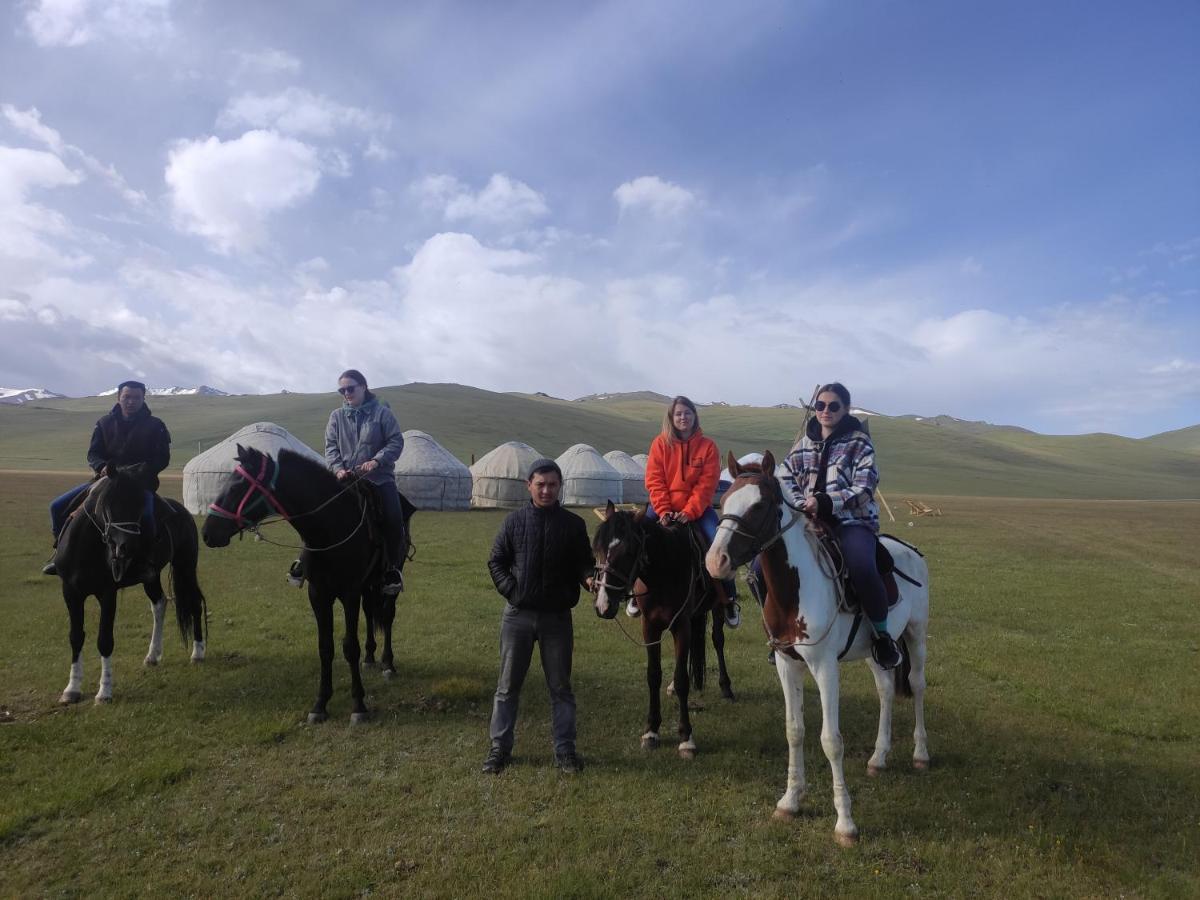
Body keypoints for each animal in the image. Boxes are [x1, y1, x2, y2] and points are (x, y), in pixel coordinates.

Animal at [52, 468, 208, 710]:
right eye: (109, 503)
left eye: (139, 505)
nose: (127, 547)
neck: (85, 548)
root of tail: (185, 512)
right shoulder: (70, 592)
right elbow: (76, 637)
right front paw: (72, 689)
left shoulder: (107, 594)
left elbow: (105, 640)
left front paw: (104, 692)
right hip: (151, 577)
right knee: (159, 603)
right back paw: (152, 655)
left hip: (186, 565)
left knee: (193, 602)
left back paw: (198, 652)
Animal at [201, 446, 412, 724]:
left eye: (237, 486)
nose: (206, 533)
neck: (330, 526)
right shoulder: (318, 593)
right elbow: (325, 648)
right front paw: (320, 704)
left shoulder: (349, 593)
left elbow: (349, 647)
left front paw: (358, 706)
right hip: (368, 585)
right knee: (370, 613)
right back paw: (370, 658)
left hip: (388, 582)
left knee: (386, 616)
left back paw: (388, 664)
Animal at [590, 501, 729, 763]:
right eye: (598, 549)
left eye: (627, 552)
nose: (603, 605)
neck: (666, 570)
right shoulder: (651, 627)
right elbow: (653, 675)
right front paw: (651, 731)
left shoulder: (681, 625)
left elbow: (684, 679)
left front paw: (686, 738)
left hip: (716, 608)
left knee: (718, 640)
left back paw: (726, 686)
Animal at [705, 453, 931, 849]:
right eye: (725, 501)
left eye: (759, 506)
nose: (715, 560)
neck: (794, 590)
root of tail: (910, 551)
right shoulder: (787, 664)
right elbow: (794, 729)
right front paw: (790, 801)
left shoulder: (825, 667)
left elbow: (831, 740)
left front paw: (845, 823)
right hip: (877, 651)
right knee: (886, 691)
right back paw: (878, 757)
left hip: (916, 635)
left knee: (917, 686)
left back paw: (920, 754)